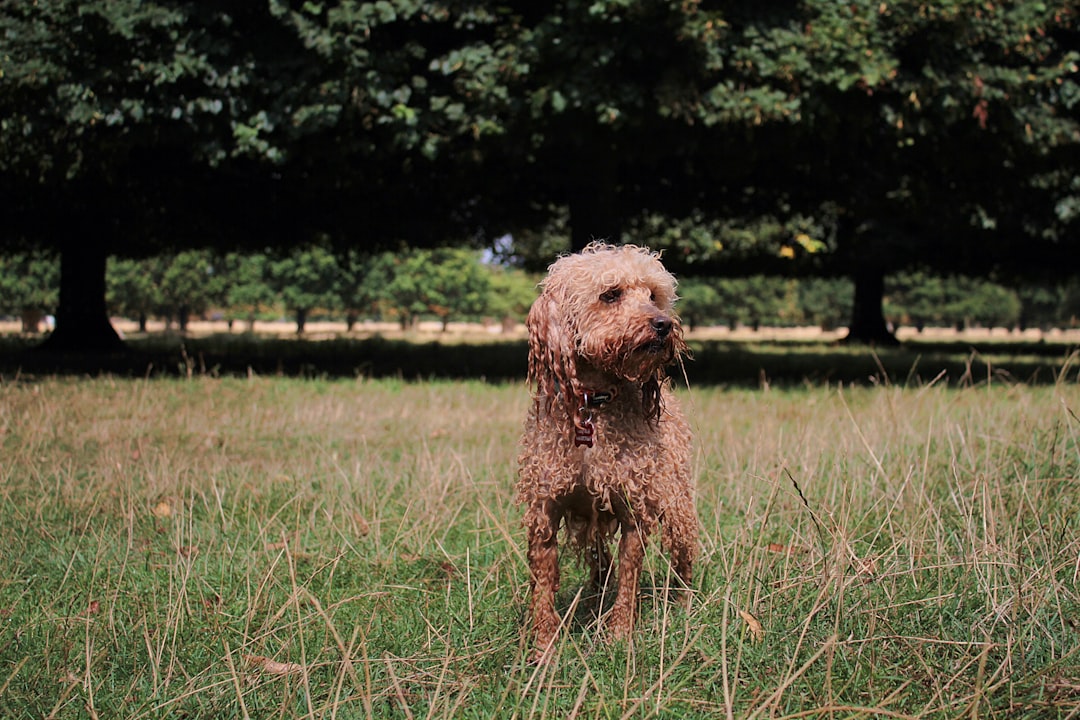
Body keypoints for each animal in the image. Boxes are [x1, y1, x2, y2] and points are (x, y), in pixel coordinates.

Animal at [516, 243, 699, 664]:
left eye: (653, 295)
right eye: (611, 294)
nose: (664, 324)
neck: (594, 405)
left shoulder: (636, 510)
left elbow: (629, 581)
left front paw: (618, 636)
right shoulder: (544, 511)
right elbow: (543, 585)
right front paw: (543, 647)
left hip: (677, 503)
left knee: (682, 556)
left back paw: (682, 605)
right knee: (600, 564)